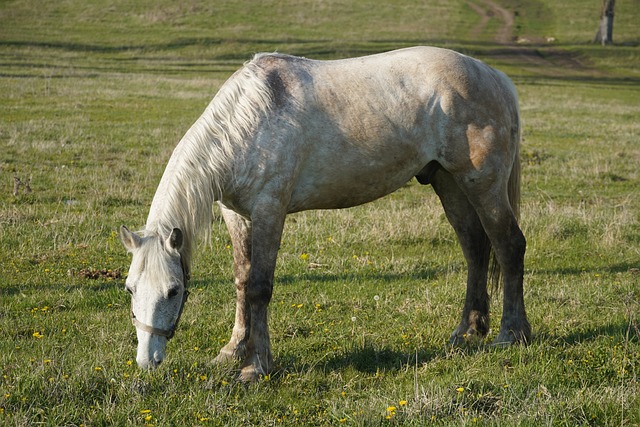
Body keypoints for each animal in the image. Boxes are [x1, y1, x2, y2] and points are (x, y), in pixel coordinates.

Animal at [119, 46, 528, 382]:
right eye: (130, 288)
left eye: (173, 291)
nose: (147, 361)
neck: (249, 121)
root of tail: (494, 76)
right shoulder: (236, 215)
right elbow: (241, 281)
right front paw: (232, 351)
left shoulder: (270, 210)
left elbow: (259, 288)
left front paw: (256, 367)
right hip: (449, 183)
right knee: (475, 249)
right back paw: (467, 331)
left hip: (483, 184)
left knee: (509, 246)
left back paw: (512, 334)